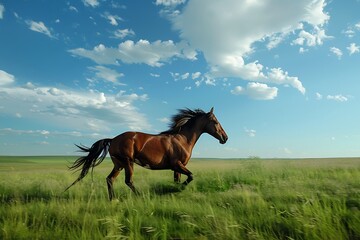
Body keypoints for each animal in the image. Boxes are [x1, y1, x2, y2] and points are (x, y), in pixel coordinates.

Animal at [64, 107, 228, 201]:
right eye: (215, 121)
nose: (225, 138)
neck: (182, 139)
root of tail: (113, 139)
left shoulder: (177, 168)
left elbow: (178, 180)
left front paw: (173, 190)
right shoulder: (177, 165)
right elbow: (191, 176)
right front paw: (175, 189)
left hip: (119, 164)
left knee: (110, 179)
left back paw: (113, 200)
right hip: (128, 162)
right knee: (128, 181)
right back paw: (139, 196)